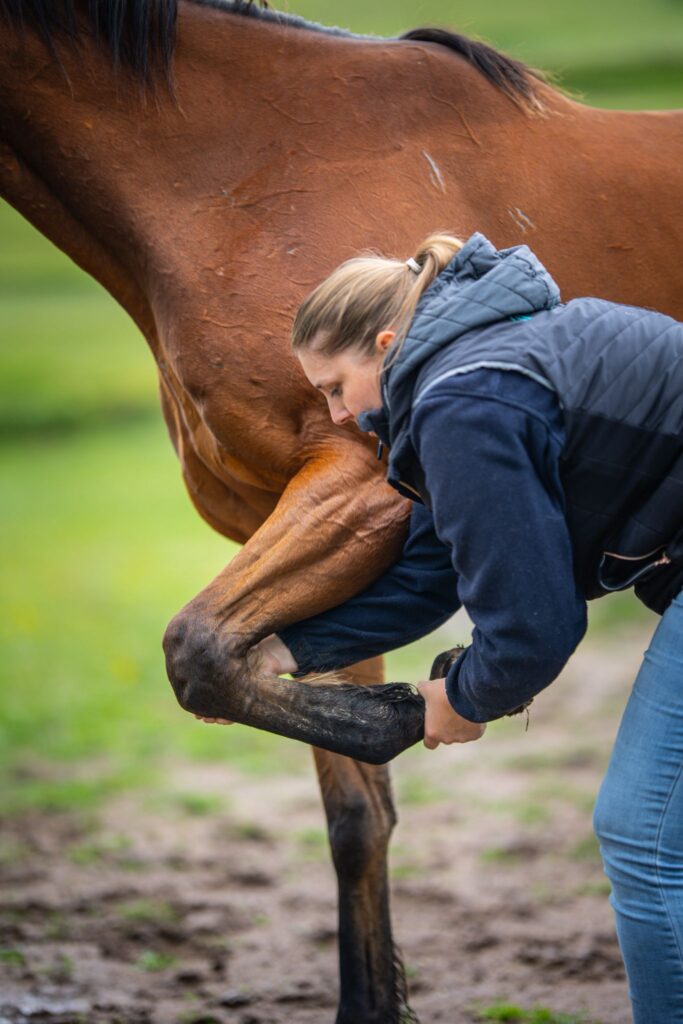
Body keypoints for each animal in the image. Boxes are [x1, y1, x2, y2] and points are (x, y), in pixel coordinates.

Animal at [2, 2, 682, 1020]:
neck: (228, 174)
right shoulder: (293, 521)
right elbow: (354, 811)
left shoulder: (360, 486)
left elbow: (199, 651)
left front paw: (404, 711)